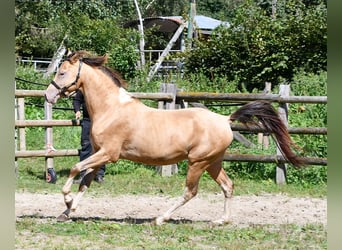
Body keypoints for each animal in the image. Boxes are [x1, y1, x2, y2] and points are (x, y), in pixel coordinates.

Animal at [44, 50, 304, 225]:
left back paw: (160, 218)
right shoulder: (100, 156)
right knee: (228, 186)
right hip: (213, 162)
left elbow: (76, 169)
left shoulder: (109, 154)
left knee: (190, 192)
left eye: (62, 72)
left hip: (198, 162)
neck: (112, 109)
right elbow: (85, 181)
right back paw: (221, 221)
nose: (48, 95)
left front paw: (67, 201)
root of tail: (225, 119)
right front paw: (67, 212)